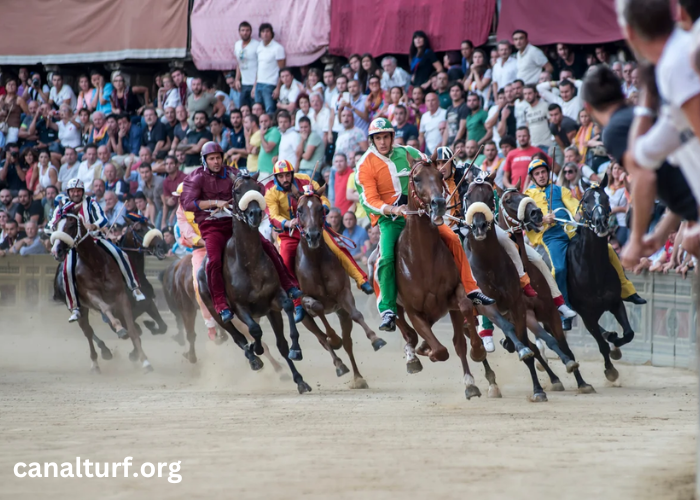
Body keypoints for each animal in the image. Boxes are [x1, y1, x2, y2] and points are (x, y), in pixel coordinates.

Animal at [292, 189, 386, 388]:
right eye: (300, 210)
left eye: (320, 208)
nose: (313, 235)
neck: (316, 261)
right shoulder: (304, 299)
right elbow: (318, 308)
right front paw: (334, 339)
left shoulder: (343, 294)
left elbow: (356, 315)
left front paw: (376, 339)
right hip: (304, 318)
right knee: (321, 337)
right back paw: (339, 364)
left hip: (341, 312)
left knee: (348, 342)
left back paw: (358, 377)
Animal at [462, 172, 592, 398]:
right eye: (468, 196)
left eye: (490, 197)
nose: (536, 212)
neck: (490, 264)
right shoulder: (489, 305)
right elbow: (521, 342)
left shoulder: (535, 309)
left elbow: (557, 342)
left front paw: (577, 379)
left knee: (543, 343)